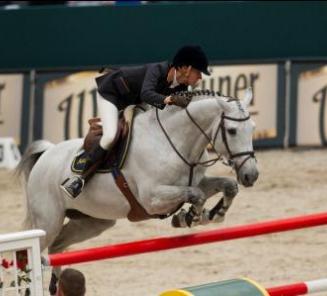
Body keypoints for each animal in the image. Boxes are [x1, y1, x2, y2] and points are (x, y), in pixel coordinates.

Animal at [17, 88, 258, 292]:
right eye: (232, 131)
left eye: (253, 128)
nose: (251, 175)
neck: (175, 142)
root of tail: (46, 154)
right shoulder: (152, 199)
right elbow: (196, 195)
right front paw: (190, 217)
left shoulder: (197, 182)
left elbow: (228, 186)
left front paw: (212, 215)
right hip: (48, 221)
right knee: (31, 253)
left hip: (92, 221)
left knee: (57, 246)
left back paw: (56, 284)